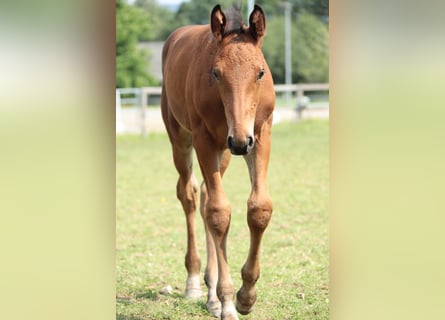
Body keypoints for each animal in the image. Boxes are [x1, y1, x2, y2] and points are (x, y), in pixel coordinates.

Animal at [160, 5, 274, 320]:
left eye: (260, 72)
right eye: (216, 73)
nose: (239, 142)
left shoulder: (259, 135)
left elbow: (259, 208)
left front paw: (246, 297)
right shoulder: (205, 140)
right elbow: (219, 213)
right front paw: (229, 301)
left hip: (223, 153)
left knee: (204, 196)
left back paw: (211, 295)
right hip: (183, 139)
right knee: (189, 195)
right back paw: (195, 283)